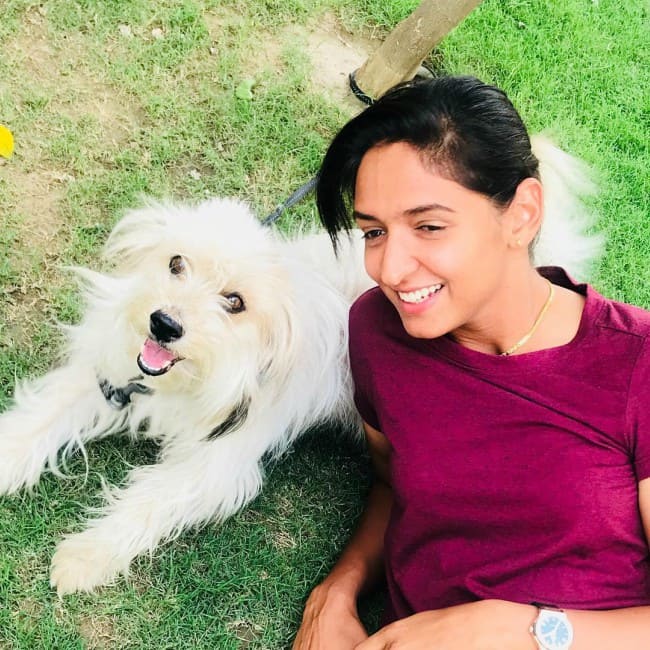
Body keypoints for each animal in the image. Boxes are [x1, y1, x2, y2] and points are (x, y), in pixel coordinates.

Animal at [0, 137, 596, 592]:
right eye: (175, 263)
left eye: (234, 301)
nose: (163, 324)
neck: (197, 375)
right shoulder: (111, 378)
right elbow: (40, 418)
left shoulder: (218, 460)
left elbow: (149, 501)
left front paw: (85, 556)